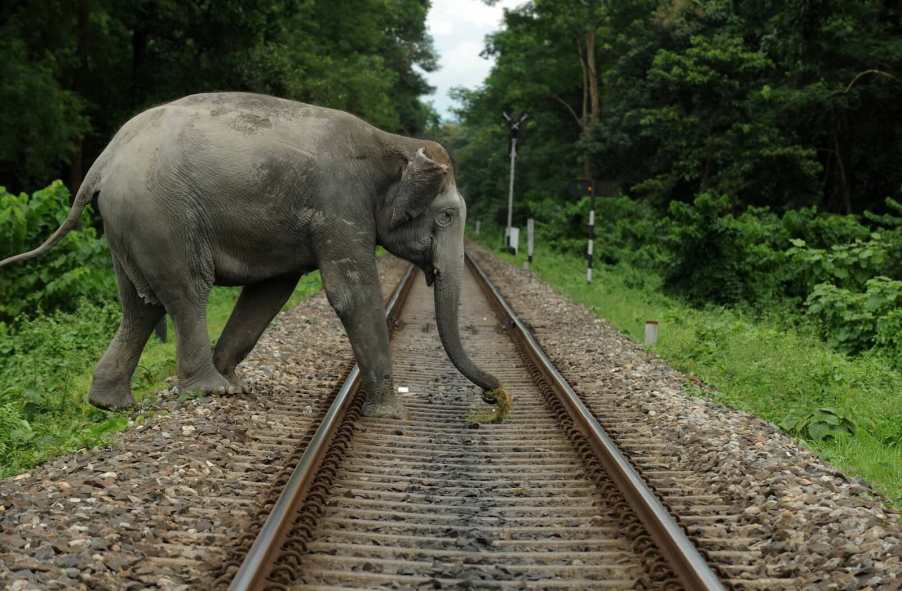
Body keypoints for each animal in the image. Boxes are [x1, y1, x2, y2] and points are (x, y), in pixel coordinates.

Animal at [0, 92, 501, 418]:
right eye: (445, 217)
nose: (495, 395)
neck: (391, 141)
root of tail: (103, 161)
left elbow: (270, 291)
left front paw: (238, 381)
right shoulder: (339, 205)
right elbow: (349, 292)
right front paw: (391, 412)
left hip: (127, 223)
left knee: (139, 306)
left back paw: (113, 403)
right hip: (160, 216)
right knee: (186, 293)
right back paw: (208, 392)